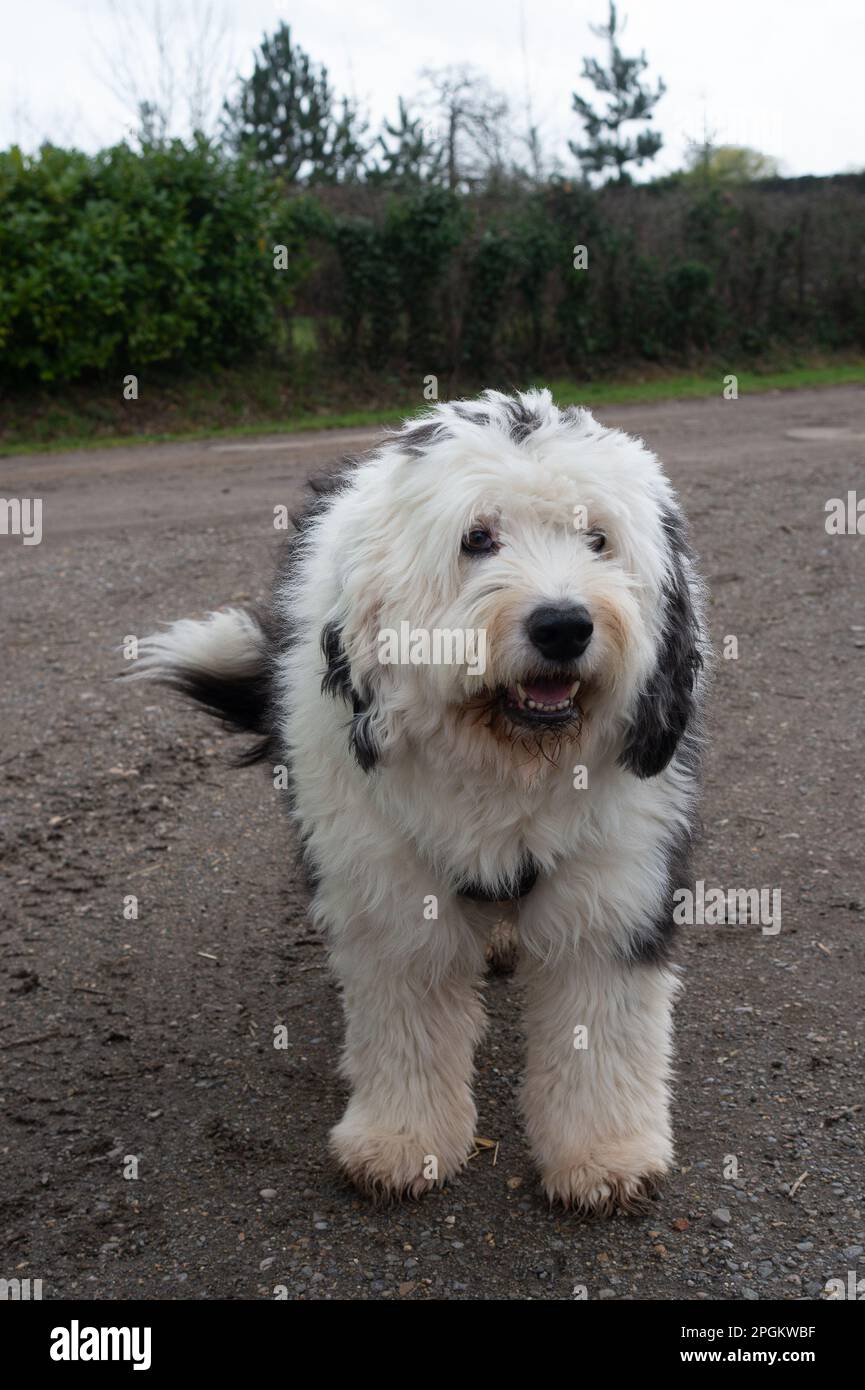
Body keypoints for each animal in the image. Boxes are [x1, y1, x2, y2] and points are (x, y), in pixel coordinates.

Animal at [132, 391, 709, 1217]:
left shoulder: (617, 878)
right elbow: (406, 1018)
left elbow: (601, 1022)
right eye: (477, 538)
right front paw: (402, 1142)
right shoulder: (391, 890)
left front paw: (604, 1152)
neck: (502, 759)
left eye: (598, 539)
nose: (564, 625)